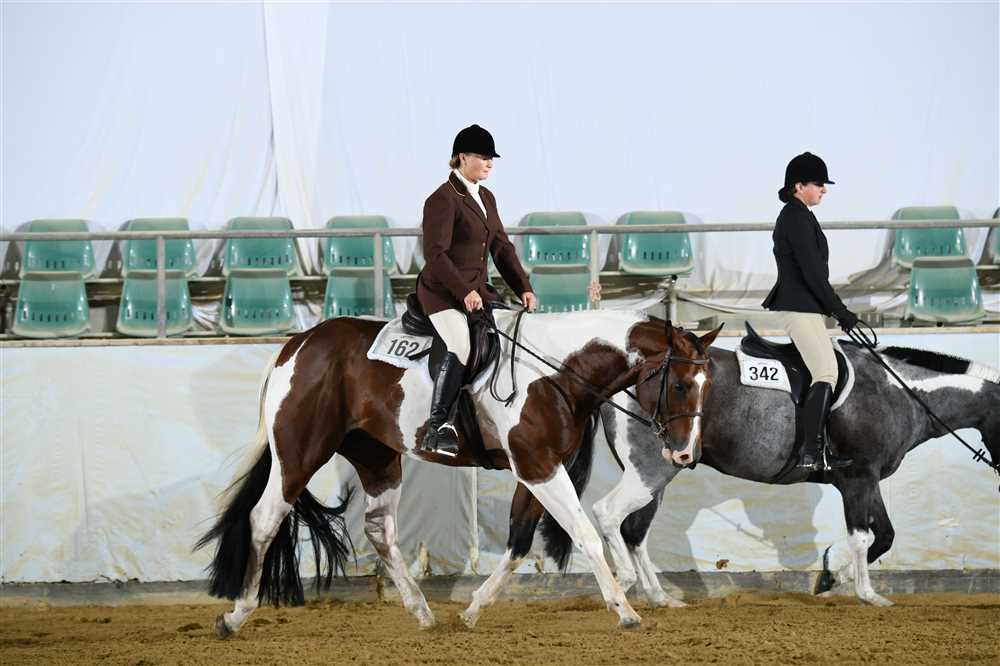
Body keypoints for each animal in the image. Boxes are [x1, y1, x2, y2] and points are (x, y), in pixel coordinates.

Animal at [196, 309, 724, 635]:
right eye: (680, 383)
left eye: (708, 384)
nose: (685, 455)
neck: (554, 374)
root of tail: (299, 343)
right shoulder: (539, 466)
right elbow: (586, 535)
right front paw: (624, 609)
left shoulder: (535, 469)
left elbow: (518, 544)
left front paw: (472, 610)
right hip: (300, 452)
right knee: (264, 519)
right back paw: (237, 615)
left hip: (377, 458)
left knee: (380, 531)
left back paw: (422, 611)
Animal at [484, 326, 999, 615]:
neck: (898, 392)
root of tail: (634, 372)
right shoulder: (856, 479)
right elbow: (864, 538)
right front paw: (864, 594)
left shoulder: (866, 481)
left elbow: (886, 536)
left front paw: (832, 581)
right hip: (650, 471)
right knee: (611, 517)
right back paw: (629, 588)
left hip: (662, 474)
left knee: (634, 531)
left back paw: (659, 597)